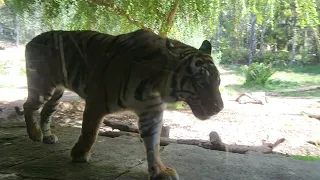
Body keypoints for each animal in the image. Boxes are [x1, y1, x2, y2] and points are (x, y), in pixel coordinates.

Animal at [15, 28, 224, 179]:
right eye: (200, 82)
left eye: (218, 81)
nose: (219, 108)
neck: (156, 86)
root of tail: (31, 40)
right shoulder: (97, 101)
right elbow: (90, 132)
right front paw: (80, 154)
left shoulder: (152, 112)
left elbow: (154, 144)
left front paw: (160, 170)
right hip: (43, 86)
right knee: (28, 106)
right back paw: (35, 134)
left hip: (57, 93)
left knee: (45, 112)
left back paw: (47, 137)